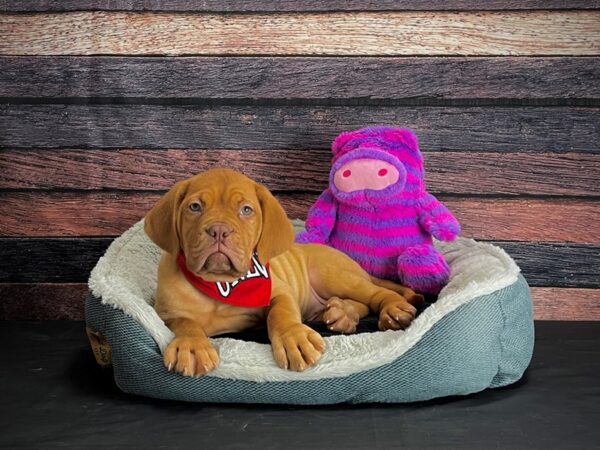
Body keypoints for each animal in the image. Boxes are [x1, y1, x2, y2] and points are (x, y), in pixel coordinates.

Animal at [146, 167, 424, 374]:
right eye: (195, 207)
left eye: (246, 210)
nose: (219, 230)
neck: (221, 284)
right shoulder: (165, 313)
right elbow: (184, 322)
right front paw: (192, 346)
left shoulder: (279, 290)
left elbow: (281, 313)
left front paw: (294, 339)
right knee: (360, 303)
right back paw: (341, 313)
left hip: (331, 273)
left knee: (373, 294)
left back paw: (390, 308)